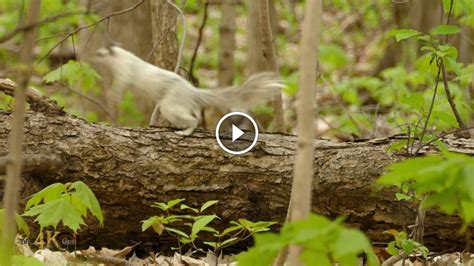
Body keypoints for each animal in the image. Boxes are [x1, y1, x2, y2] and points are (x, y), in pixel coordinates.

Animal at [94, 45, 284, 135]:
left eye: (101, 53)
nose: (93, 55)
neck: (120, 58)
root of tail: (193, 91)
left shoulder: (125, 71)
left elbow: (121, 85)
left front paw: (112, 96)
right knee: (196, 115)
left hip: (170, 105)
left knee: (193, 120)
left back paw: (184, 132)